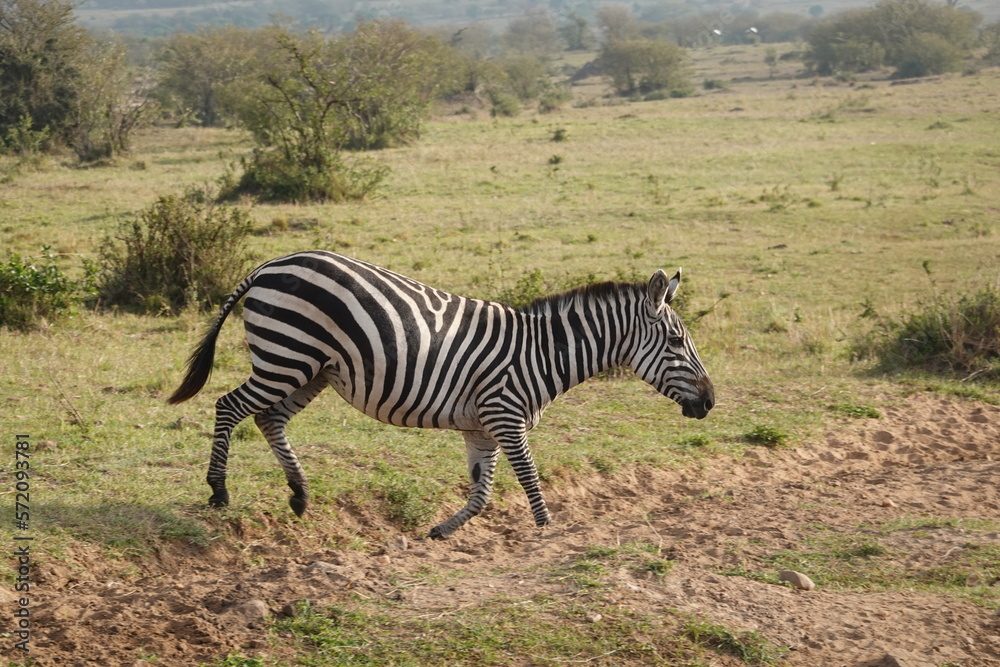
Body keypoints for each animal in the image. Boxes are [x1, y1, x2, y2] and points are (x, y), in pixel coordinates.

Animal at [168, 250, 714, 539]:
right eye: (675, 342)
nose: (710, 403)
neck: (541, 353)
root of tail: (270, 264)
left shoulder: (482, 427)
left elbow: (482, 490)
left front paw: (443, 531)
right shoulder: (505, 414)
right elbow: (530, 479)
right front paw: (547, 534)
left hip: (311, 369)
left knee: (269, 419)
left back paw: (300, 494)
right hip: (287, 355)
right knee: (228, 406)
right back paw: (219, 490)